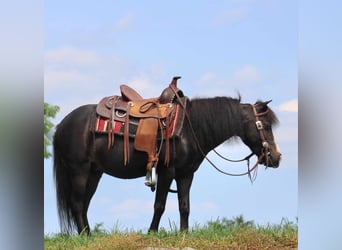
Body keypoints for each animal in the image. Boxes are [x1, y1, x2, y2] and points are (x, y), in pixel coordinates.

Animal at [52, 93, 280, 233]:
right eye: (266, 125)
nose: (277, 158)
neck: (189, 128)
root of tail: (62, 124)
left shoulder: (186, 174)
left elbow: (184, 206)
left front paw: (184, 233)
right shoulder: (166, 172)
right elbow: (159, 205)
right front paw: (152, 232)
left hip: (94, 172)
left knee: (83, 205)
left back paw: (88, 234)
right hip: (79, 170)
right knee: (77, 203)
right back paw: (86, 236)